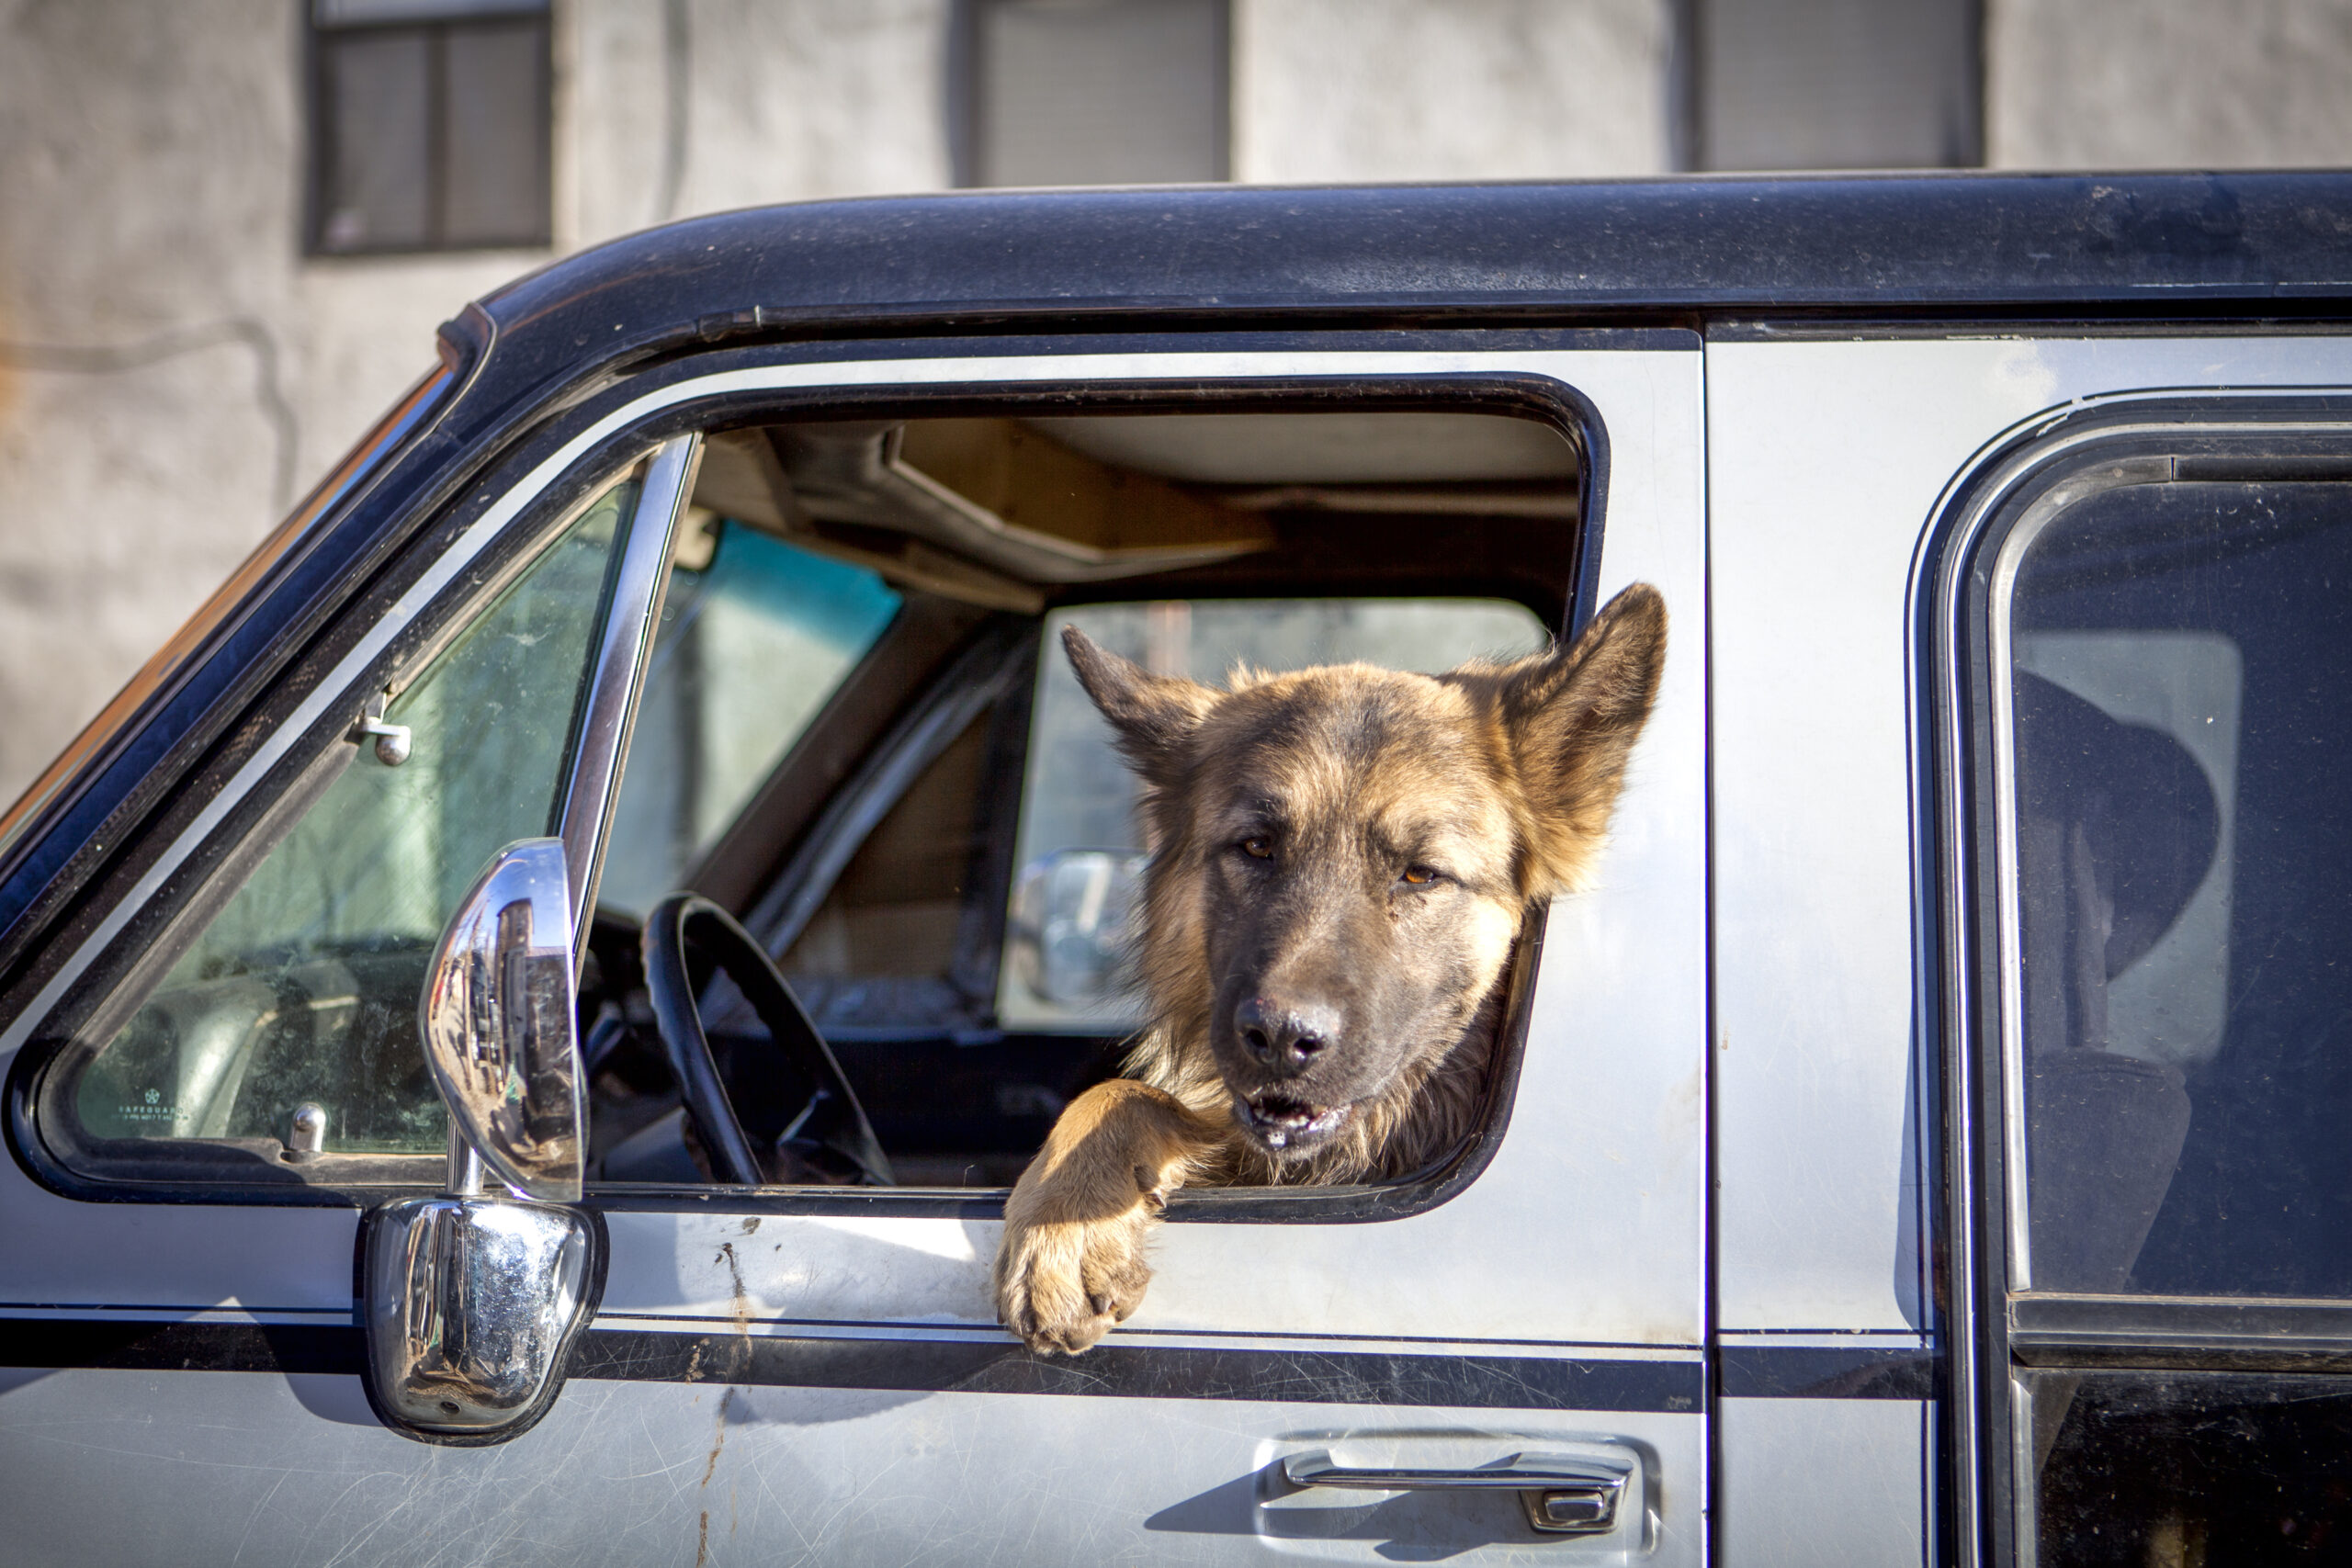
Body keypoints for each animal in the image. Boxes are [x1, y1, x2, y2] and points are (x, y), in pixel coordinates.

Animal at [992, 582, 1674, 1354]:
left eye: (1419, 873)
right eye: (1257, 846)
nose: (1283, 1039)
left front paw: (1066, 1227)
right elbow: (1122, 1093)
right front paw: (1063, 1213)